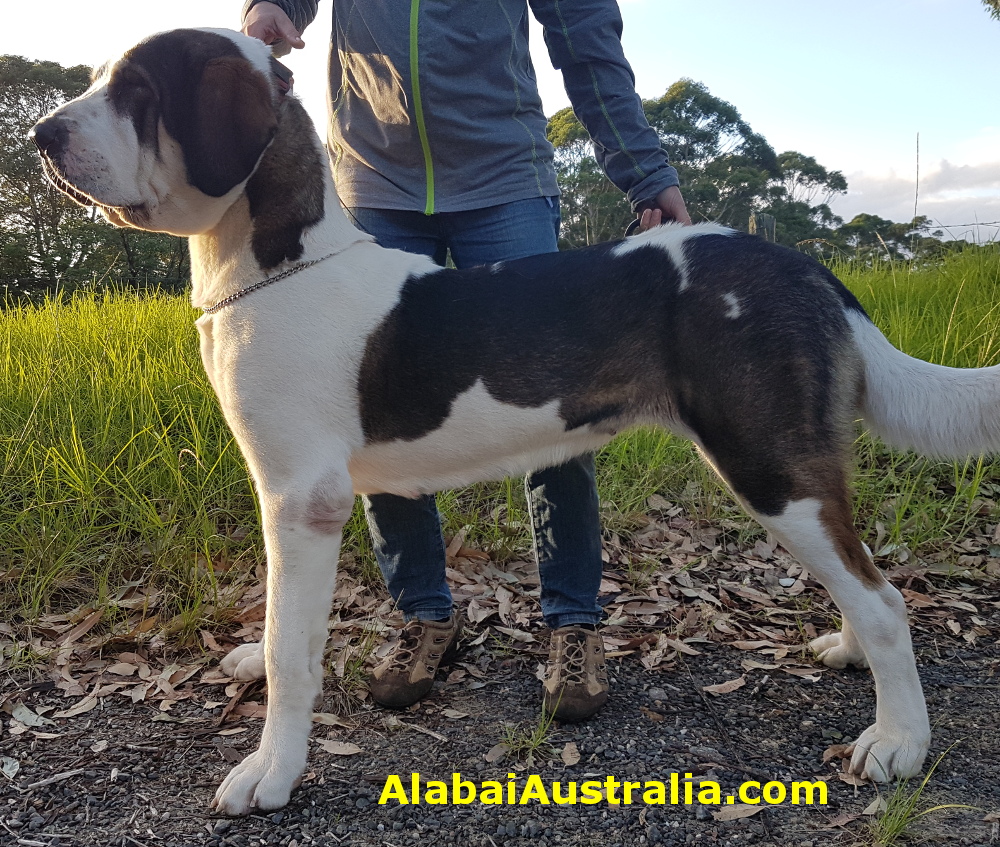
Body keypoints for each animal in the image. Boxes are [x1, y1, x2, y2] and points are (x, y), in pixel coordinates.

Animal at [31, 29, 1000, 820]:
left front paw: (270, 769)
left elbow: (291, 646)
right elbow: (282, 628)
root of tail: (802, 263)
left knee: (884, 598)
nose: (41, 135)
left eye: (139, 92)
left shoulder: (301, 501)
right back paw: (851, 654)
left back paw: (899, 740)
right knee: (858, 579)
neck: (281, 263)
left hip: (766, 462)